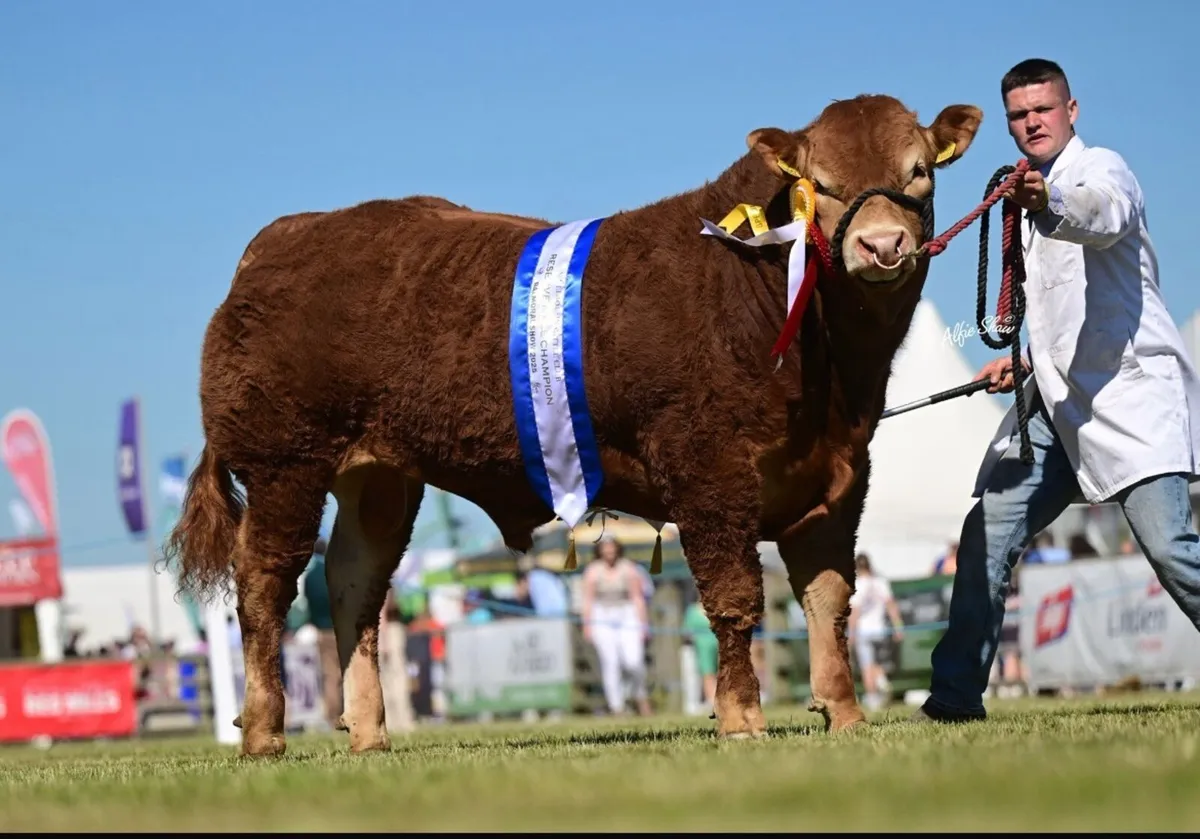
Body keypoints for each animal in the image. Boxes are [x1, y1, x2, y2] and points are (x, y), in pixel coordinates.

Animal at [165, 93, 983, 757]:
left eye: (918, 172)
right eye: (825, 184)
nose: (882, 245)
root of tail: (280, 239)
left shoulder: (838, 477)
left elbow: (827, 598)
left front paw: (843, 712)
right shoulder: (708, 468)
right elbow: (734, 595)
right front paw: (742, 719)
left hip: (380, 479)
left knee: (354, 583)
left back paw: (367, 732)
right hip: (285, 462)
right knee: (264, 585)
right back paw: (263, 731)